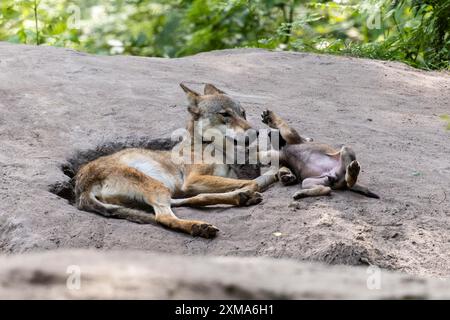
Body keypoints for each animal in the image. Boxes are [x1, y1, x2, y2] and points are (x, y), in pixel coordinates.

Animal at [75, 84, 276, 239]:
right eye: (225, 114)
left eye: (243, 113)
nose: (256, 132)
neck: (217, 150)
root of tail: (81, 188)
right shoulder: (193, 180)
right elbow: (251, 181)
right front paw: (264, 179)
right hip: (158, 187)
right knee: (164, 217)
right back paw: (199, 226)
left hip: (165, 189)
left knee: (192, 200)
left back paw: (242, 198)